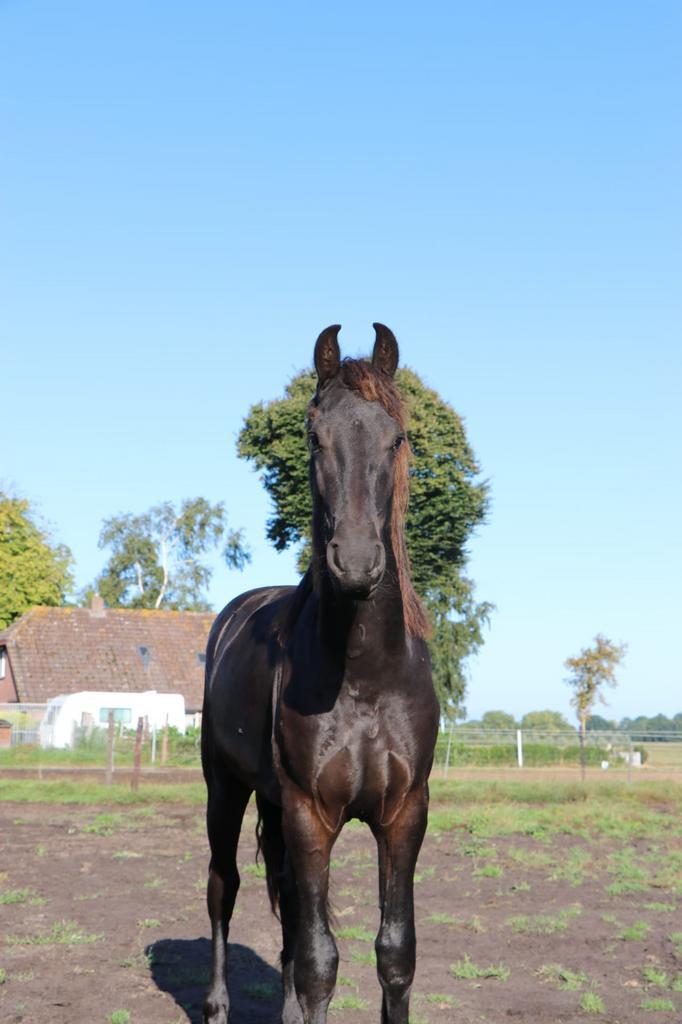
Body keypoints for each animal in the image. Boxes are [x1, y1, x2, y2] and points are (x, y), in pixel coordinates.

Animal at [201, 324, 440, 1024]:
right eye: (314, 436)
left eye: (397, 437)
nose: (356, 563)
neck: (364, 677)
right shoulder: (312, 814)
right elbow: (318, 962)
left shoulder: (404, 814)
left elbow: (394, 954)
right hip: (224, 791)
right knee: (224, 888)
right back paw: (217, 1005)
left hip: (273, 806)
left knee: (281, 903)